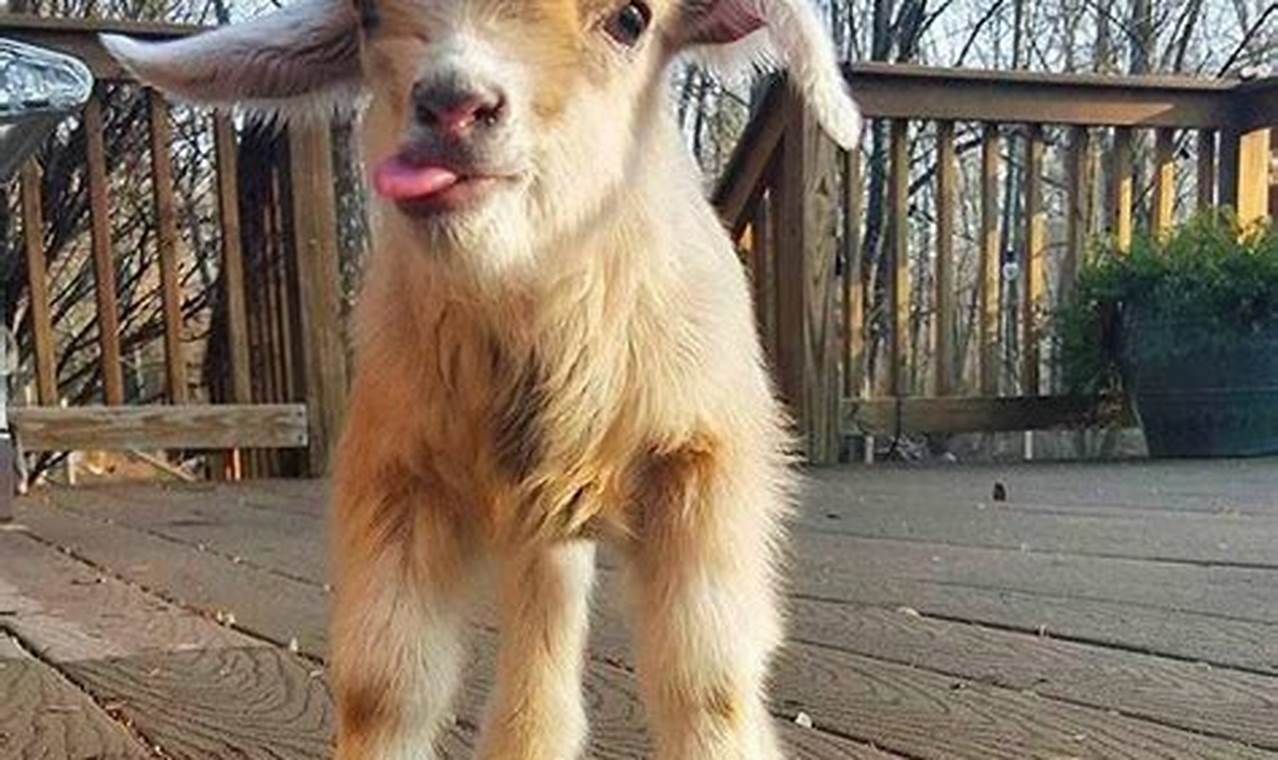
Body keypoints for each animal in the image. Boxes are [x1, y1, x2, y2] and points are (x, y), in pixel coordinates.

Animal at [103, 0, 858, 755]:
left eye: (630, 21)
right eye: (369, 17)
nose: (453, 106)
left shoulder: (706, 465)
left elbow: (706, 679)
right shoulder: (395, 472)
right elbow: (384, 683)